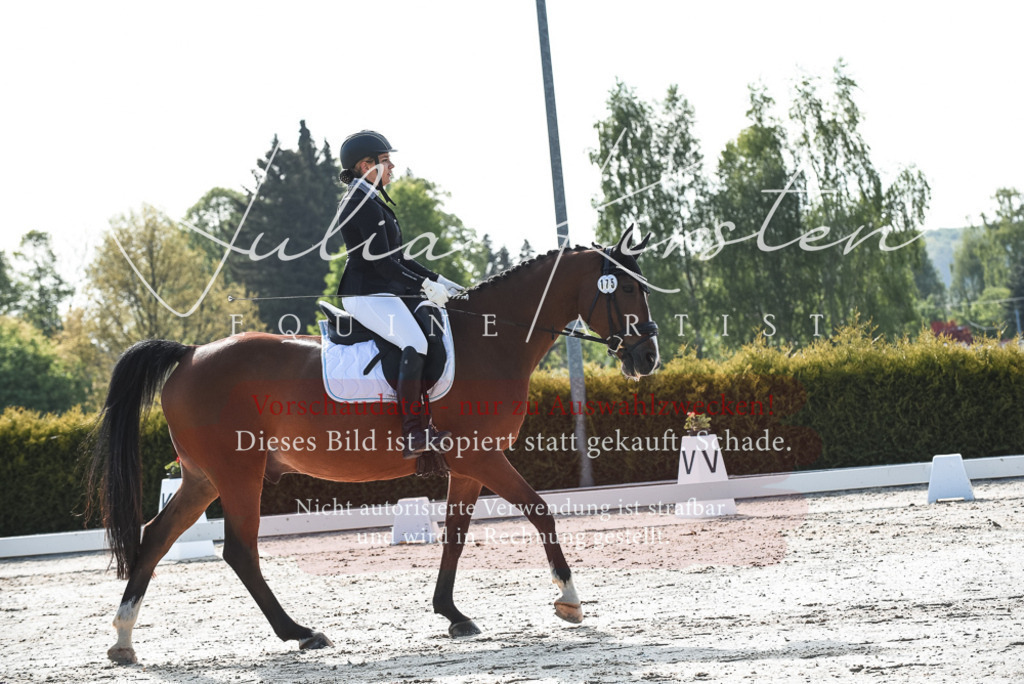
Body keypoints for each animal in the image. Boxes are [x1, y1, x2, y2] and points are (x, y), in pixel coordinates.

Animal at [90, 227, 661, 664]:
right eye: (627, 292)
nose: (647, 358)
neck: (490, 341)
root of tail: (189, 354)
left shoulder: (468, 466)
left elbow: (455, 536)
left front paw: (452, 615)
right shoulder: (481, 455)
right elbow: (541, 511)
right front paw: (570, 600)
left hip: (203, 477)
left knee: (155, 537)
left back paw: (123, 640)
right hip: (237, 474)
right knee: (239, 551)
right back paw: (301, 633)